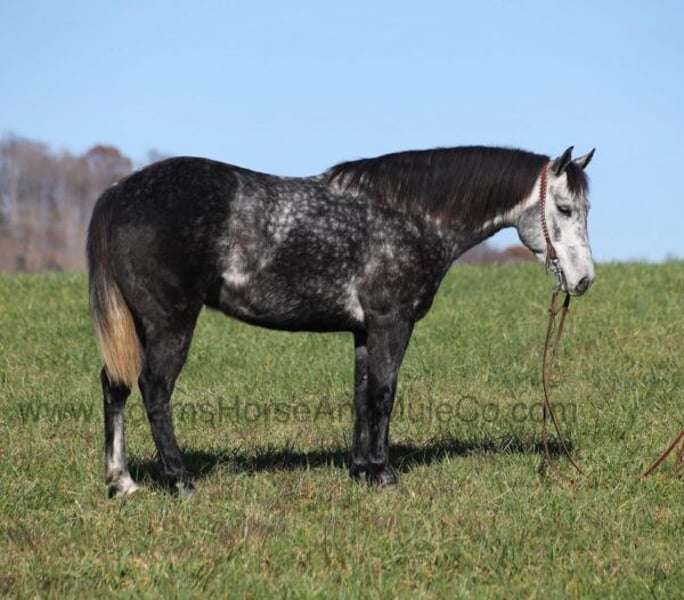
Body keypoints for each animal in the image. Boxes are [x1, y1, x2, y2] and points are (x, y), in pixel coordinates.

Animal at [86, 144, 595, 497]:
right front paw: (384, 476)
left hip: (135, 325)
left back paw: (122, 482)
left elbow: (362, 395)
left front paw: (361, 471)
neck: (409, 215)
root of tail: (118, 193)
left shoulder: (364, 331)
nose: (584, 279)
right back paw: (179, 481)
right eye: (565, 209)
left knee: (115, 386)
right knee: (154, 388)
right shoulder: (392, 322)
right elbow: (384, 393)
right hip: (169, 322)